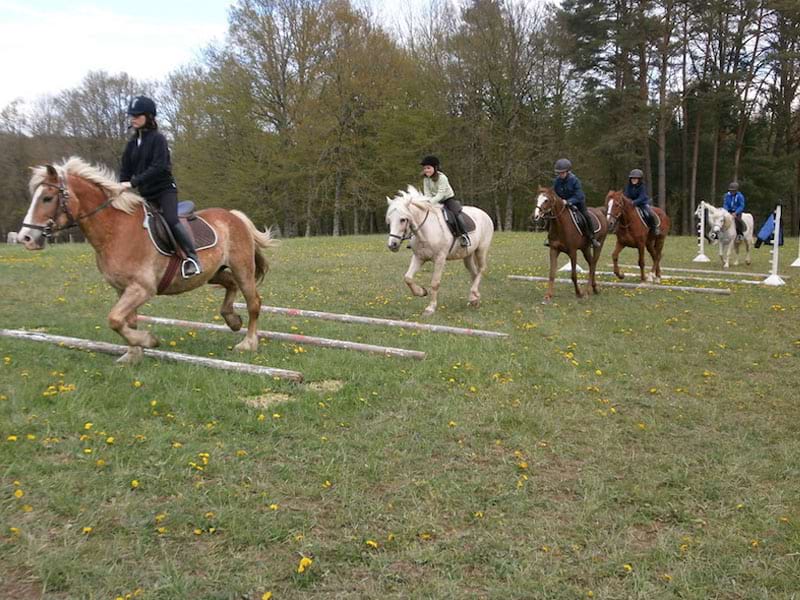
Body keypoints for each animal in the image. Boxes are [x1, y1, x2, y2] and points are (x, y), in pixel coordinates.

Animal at [17, 157, 276, 364]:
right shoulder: (123, 289)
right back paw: (232, 319)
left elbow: (114, 319)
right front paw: (133, 354)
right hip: (213, 272)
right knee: (230, 284)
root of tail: (233, 216)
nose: (26, 238)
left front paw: (148, 341)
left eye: (47, 198)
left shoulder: (142, 288)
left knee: (253, 302)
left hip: (242, 268)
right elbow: (127, 321)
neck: (115, 230)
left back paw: (248, 343)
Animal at [382, 186, 490, 316]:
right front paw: (421, 292)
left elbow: (435, 283)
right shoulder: (419, 257)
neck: (425, 231)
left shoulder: (440, 259)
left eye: (403, 220)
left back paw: (474, 295)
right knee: (474, 273)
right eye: (389, 220)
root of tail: (484, 213)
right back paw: (475, 299)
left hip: (481, 250)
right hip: (467, 255)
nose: (392, 245)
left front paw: (430, 308)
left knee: (482, 269)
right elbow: (407, 278)